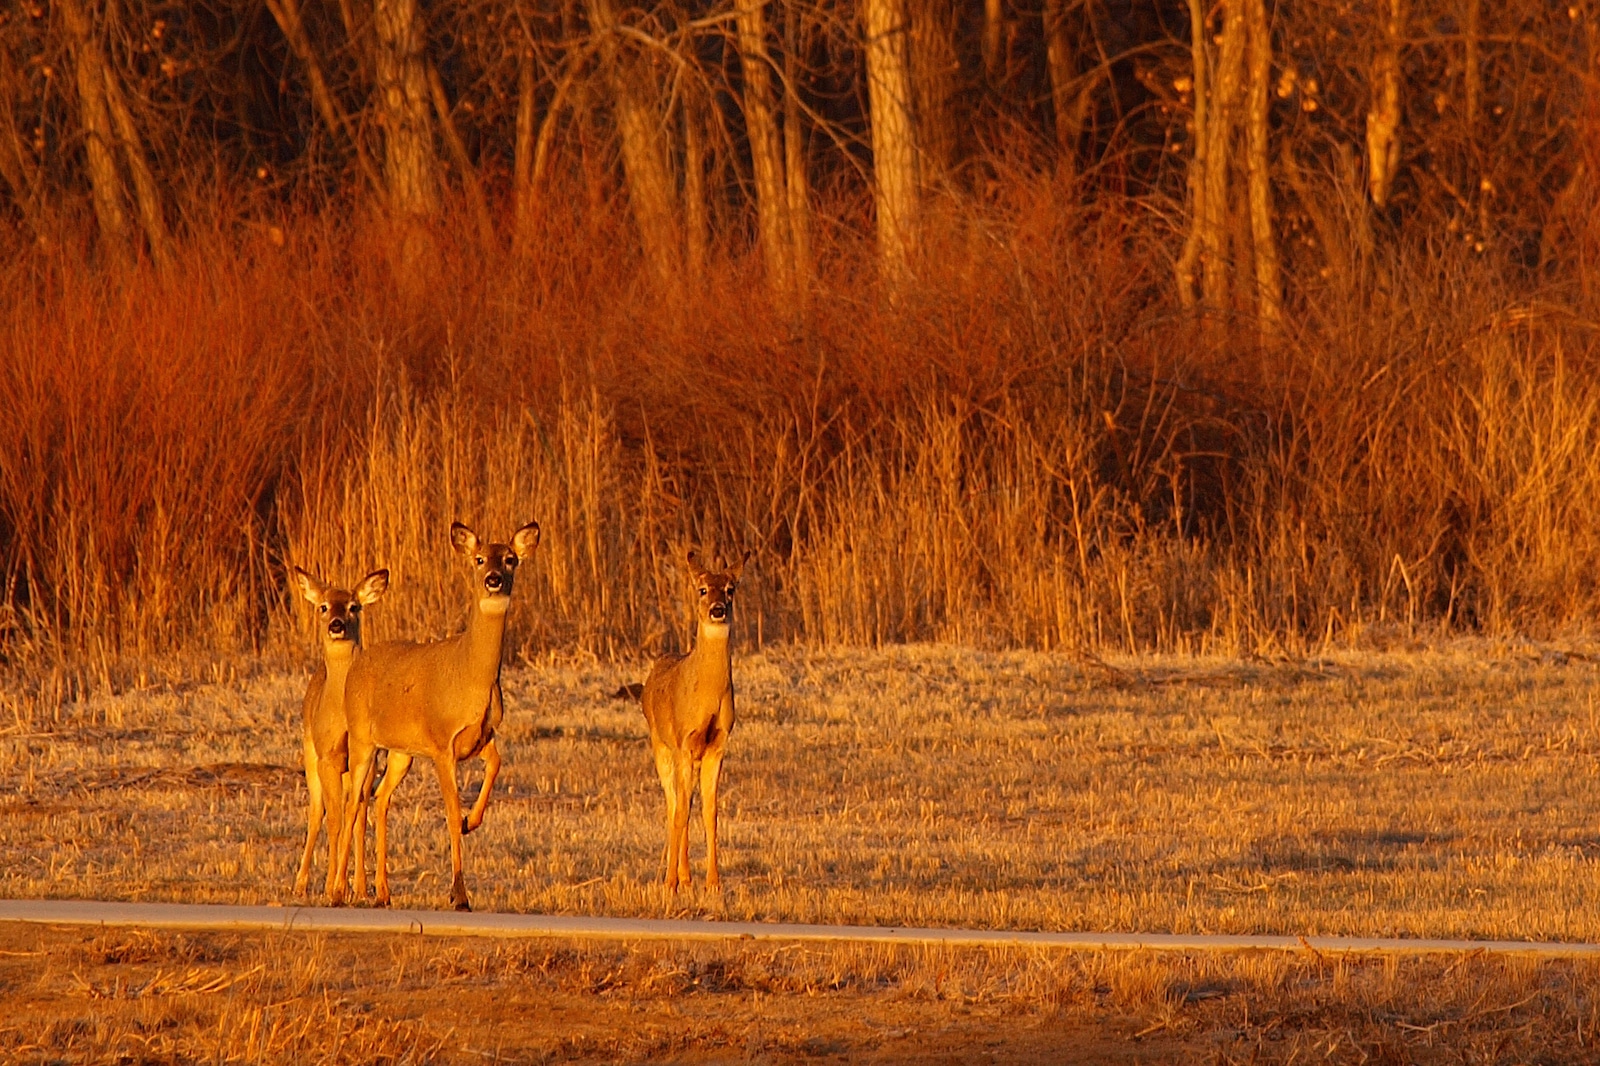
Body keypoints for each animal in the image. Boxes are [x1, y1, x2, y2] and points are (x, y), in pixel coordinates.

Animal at [291, 563, 387, 896]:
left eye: (353, 606)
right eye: (323, 606)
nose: (336, 624)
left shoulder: (368, 757)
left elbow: (357, 816)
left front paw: (357, 887)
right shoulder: (328, 756)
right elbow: (333, 819)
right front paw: (332, 885)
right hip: (310, 755)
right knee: (315, 812)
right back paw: (300, 883)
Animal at [334, 518, 540, 909]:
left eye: (510, 559)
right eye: (478, 559)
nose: (493, 579)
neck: (470, 676)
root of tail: (357, 663)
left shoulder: (481, 736)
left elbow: (496, 764)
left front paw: (472, 821)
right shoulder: (443, 743)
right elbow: (449, 810)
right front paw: (459, 895)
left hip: (402, 752)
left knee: (380, 798)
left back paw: (383, 892)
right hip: (362, 738)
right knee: (353, 802)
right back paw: (338, 891)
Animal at [636, 547, 748, 889]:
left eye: (730, 588)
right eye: (702, 589)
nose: (717, 610)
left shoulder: (717, 745)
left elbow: (710, 811)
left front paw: (713, 881)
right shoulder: (683, 742)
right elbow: (681, 811)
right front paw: (670, 882)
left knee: (686, 802)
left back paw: (686, 875)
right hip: (661, 746)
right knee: (674, 804)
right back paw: (677, 876)